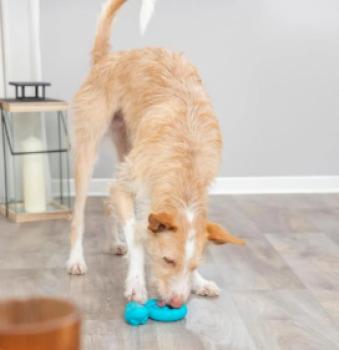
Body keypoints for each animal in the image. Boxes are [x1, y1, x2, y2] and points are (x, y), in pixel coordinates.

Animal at [67, 0, 246, 308]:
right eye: (167, 260)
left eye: (194, 265)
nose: (176, 304)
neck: (185, 160)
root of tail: (108, 58)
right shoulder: (127, 189)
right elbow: (138, 236)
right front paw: (136, 284)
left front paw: (199, 282)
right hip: (87, 153)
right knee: (79, 215)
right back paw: (76, 259)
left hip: (126, 147)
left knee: (106, 201)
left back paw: (114, 243)